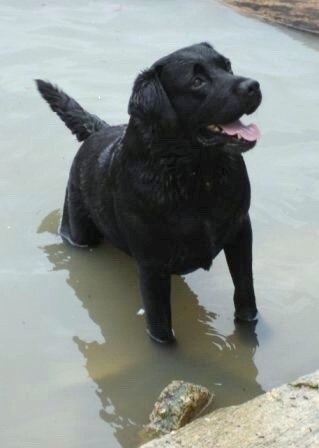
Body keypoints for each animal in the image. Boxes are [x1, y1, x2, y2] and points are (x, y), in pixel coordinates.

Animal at [37, 42, 262, 344]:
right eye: (197, 81)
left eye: (227, 66)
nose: (254, 86)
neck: (198, 179)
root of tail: (99, 129)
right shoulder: (152, 265)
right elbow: (161, 330)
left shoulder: (240, 230)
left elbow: (246, 292)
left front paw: (250, 333)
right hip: (77, 226)